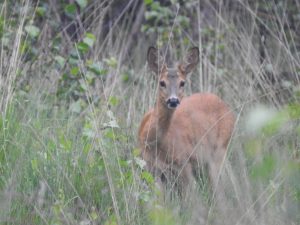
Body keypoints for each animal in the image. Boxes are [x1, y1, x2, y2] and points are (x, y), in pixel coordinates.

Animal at [137, 45, 236, 202]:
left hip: (219, 150)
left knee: (220, 188)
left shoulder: (184, 162)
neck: (152, 141)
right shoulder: (151, 169)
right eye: (162, 82)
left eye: (182, 83)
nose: (173, 100)